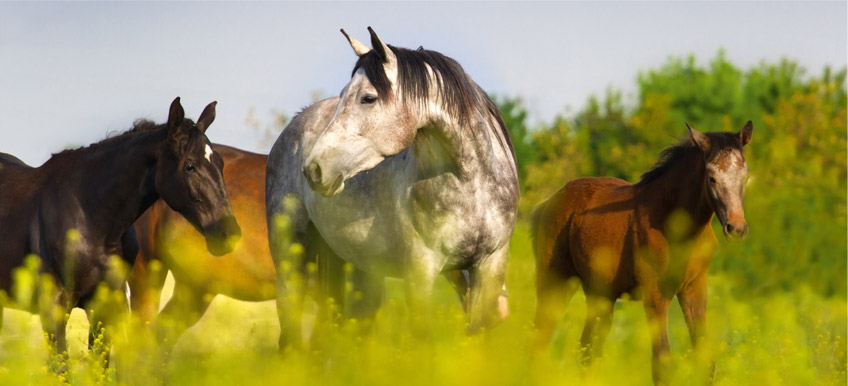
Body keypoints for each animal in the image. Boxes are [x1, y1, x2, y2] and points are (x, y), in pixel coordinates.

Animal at [0, 96, 240, 358]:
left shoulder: (106, 308)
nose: (229, 233)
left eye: (220, 163)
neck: (91, 217)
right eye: (189, 166)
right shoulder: (54, 309)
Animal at [532, 121, 752, 382]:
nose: (736, 227)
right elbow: (662, 364)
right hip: (555, 282)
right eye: (712, 178)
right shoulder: (655, 295)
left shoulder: (694, 289)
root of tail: (548, 203)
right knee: (539, 339)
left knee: (587, 352)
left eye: (745, 174)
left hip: (600, 293)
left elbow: (706, 361)